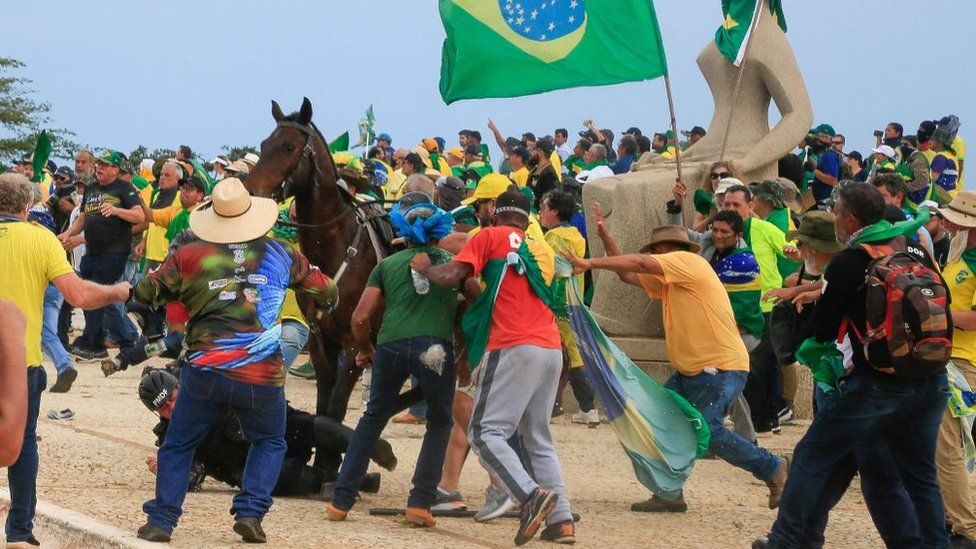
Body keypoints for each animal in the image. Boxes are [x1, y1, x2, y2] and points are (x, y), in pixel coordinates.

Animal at [244, 98, 382, 422]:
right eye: (264, 144)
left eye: (289, 147)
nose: (251, 192)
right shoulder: (321, 343)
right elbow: (323, 410)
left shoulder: (355, 347)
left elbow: (334, 411)